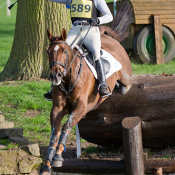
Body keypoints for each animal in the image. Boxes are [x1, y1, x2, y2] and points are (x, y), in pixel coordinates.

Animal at [39, 1, 133, 174]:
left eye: (64, 51)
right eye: (48, 51)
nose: (56, 75)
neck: (68, 79)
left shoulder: (81, 107)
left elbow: (67, 125)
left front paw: (58, 157)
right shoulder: (57, 109)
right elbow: (55, 132)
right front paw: (47, 165)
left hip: (124, 75)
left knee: (125, 83)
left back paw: (112, 87)